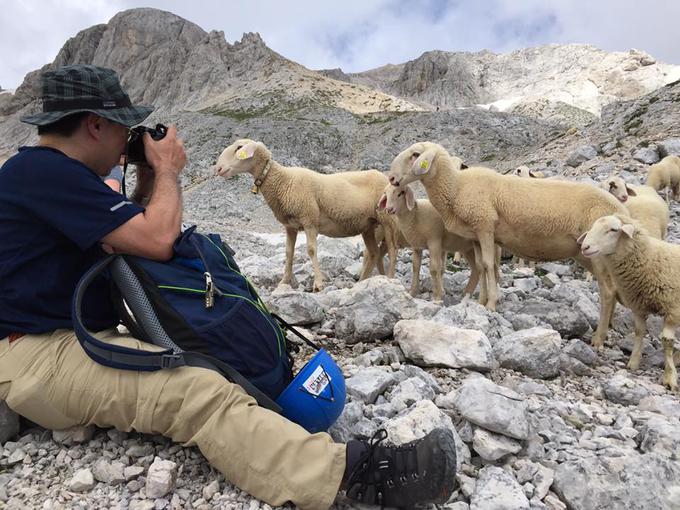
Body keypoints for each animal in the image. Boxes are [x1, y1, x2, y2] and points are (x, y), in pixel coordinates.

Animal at [216, 139, 398, 290]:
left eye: (239, 147)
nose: (218, 168)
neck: (283, 180)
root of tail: (383, 175)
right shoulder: (290, 226)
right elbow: (289, 253)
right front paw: (283, 282)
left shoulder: (309, 220)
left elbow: (311, 250)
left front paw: (318, 284)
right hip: (368, 225)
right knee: (374, 253)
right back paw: (362, 282)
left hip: (387, 219)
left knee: (391, 250)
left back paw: (389, 278)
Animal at [386, 140, 628, 346]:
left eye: (415, 155)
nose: (391, 178)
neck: (457, 187)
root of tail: (621, 209)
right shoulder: (477, 234)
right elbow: (483, 266)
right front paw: (481, 302)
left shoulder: (485, 225)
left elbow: (488, 265)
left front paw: (491, 304)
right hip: (585, 253)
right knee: (613, 288)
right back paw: (610, 326)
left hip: (598, 252)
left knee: (607, 291)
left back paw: (599, 337)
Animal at [580, 214, 680, 390]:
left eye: (613, 230)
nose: (585, 247)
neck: (650, 259)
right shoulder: (638, 307)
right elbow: (639, 331)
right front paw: (633, 362)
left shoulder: (673, 311)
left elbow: (667, 341)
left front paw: (669, 378)